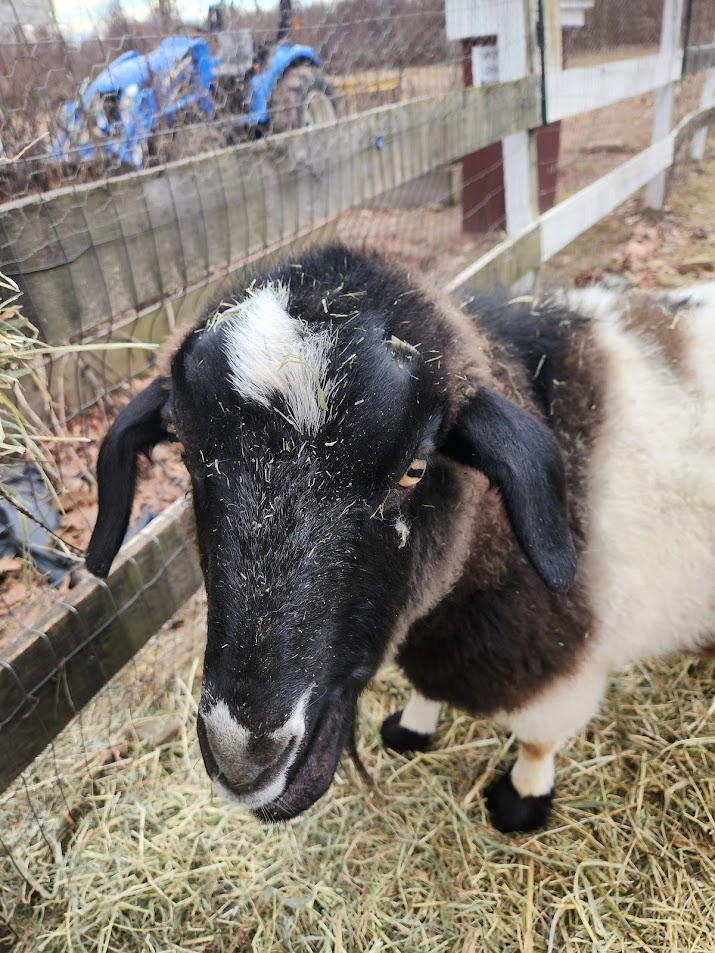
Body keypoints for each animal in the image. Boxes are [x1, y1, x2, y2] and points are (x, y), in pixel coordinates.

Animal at [86, 246, 714, 832]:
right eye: (185, 451)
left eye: (414, 469)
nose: (244, 760)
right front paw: (411, 728)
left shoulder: (554, 665)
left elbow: (538, 739)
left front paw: (521, 800)